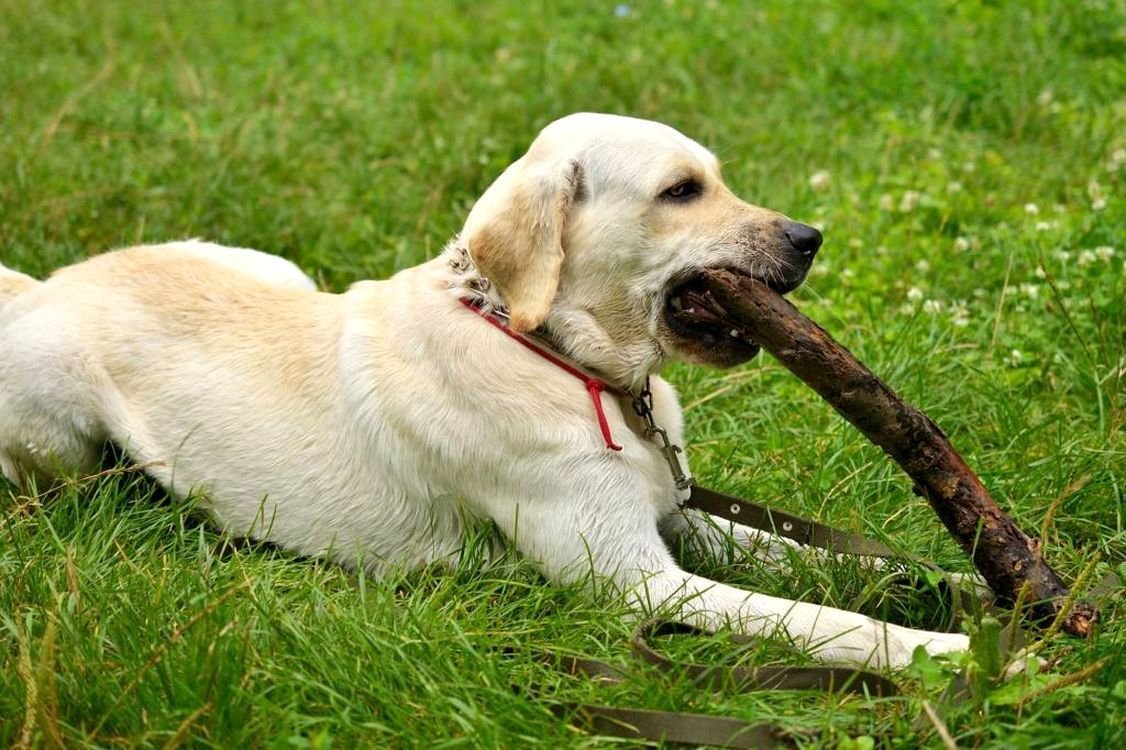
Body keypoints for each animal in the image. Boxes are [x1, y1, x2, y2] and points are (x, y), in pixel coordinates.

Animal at [0, 115, 968, 666]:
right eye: (681, 191)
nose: (811, 238)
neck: (555, 353)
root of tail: (42, 285)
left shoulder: (675, 515)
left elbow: (826, 563)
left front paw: (963, 585)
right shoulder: (641, 583)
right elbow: (818, 620)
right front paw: (945, 653)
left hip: (275, 267)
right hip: (60, 432)